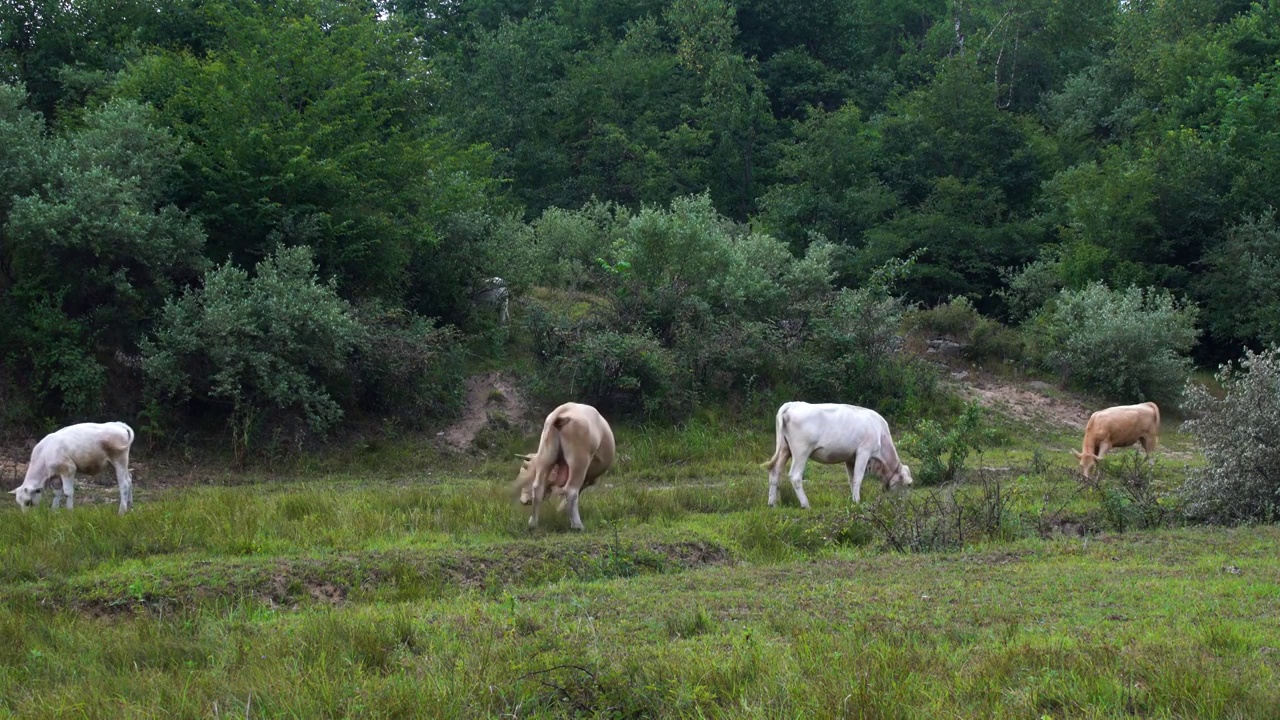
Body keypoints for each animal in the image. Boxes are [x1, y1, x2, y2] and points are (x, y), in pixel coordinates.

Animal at [8, 417, 136, 512]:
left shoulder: (68, 469)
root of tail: (118, 424)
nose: (27, 517)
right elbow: (57, 493)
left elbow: (67, 492)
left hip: (119, 460)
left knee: (124, 483)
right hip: (121, 463)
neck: (45, 453)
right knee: (129, 478)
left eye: (28, 502)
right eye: (19, 503)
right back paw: (130, 506)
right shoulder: (56, 476)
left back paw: (122, 511)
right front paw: (54, 511)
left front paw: (69, 512)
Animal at [757, 399, 911, 507]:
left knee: (775, 471)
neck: (880, 432)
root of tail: (791, 405)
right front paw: (857, 501)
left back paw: (772, 503)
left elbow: (851, 479)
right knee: (795, 476)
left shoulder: (850, 458)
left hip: (784, 449)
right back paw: (805, 504)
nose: (903, 505)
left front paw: (852, 499)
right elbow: (858, 478)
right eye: (909, 485)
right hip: (801, 451)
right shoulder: (864, 451)